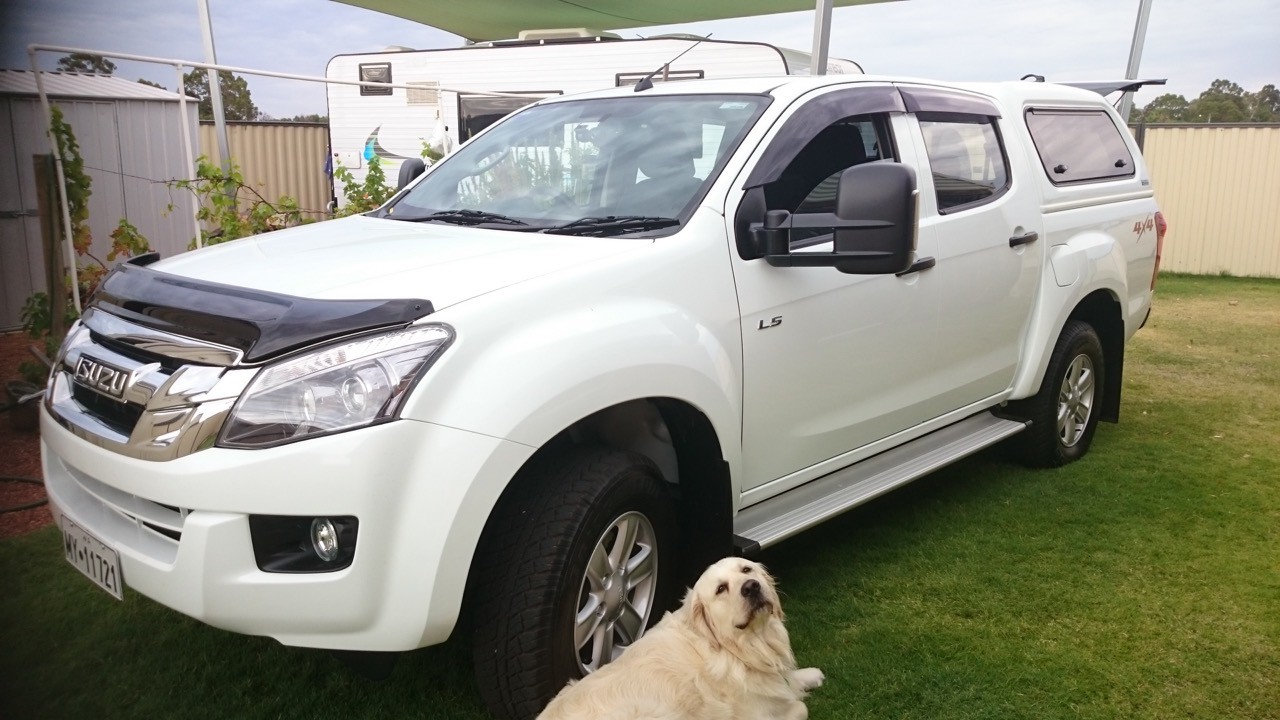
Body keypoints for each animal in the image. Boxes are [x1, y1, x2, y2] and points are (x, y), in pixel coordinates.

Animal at [537, 557, 824, 720]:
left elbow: (787, 681)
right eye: (721, 589)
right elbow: (800, 707)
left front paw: (808, 675)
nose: (752, 586)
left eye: (747, 569)